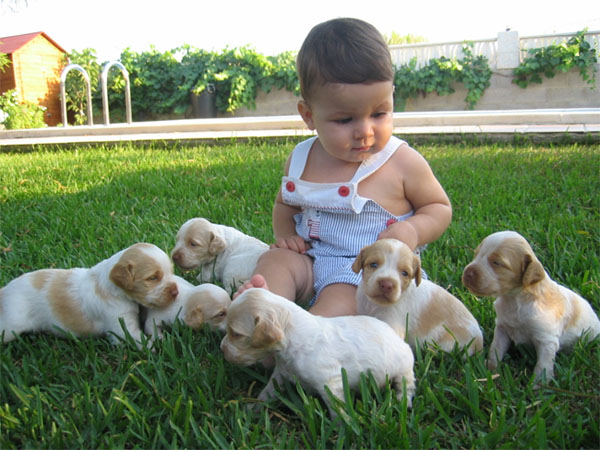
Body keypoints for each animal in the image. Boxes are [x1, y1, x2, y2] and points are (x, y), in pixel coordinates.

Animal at [0, 243, 178, 347]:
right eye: (153, 278)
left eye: (171, 271)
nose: (176, 292)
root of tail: (5, 289)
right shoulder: (122, 325)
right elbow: (137, 338)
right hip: (11, 326)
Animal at [220, 288, 416, 417]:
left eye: (236, 334)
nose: (222, 348)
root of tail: (396, 335)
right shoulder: (281, 373)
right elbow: (268, 391)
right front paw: (252, 408)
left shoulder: (330, 382)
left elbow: (337, 409)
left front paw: (343, 428)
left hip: (404, 368)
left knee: (406, 386)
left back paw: (402, 402)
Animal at [353, 239, 483, 355]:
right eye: (373, 264)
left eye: (405, 273)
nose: (387, 284)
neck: (374, 304)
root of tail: (480, 342)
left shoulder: (392, 322)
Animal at [462, 230, 600, 381]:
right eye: (476, 254)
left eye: (497, 263)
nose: (466, 272)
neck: (514, 299)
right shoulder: (502, 327)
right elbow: (496, 348)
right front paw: (490, 369)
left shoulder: (547, 340)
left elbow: (543, 366)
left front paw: (539, 384)